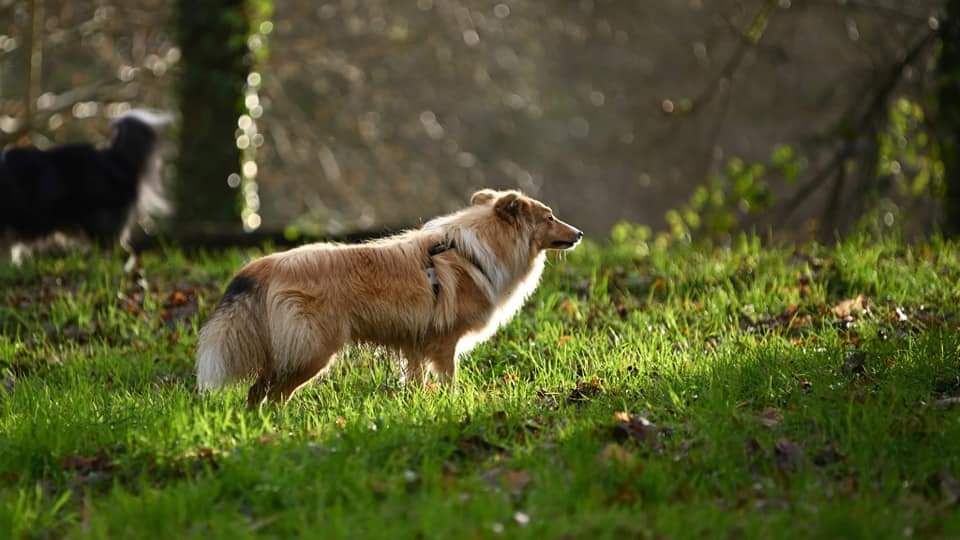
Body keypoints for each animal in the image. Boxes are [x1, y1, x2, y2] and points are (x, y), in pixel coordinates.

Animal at [197, 190, 576, 404]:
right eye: (550, 217)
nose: (580, 233)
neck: (474, 252)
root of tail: (263, 266)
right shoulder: (444, 343)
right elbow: (449, 380)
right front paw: (452, 405)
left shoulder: (416, 344)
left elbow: (416, 382)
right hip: (312, 351)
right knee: (274, 394)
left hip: (286, 350)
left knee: (257, 393)